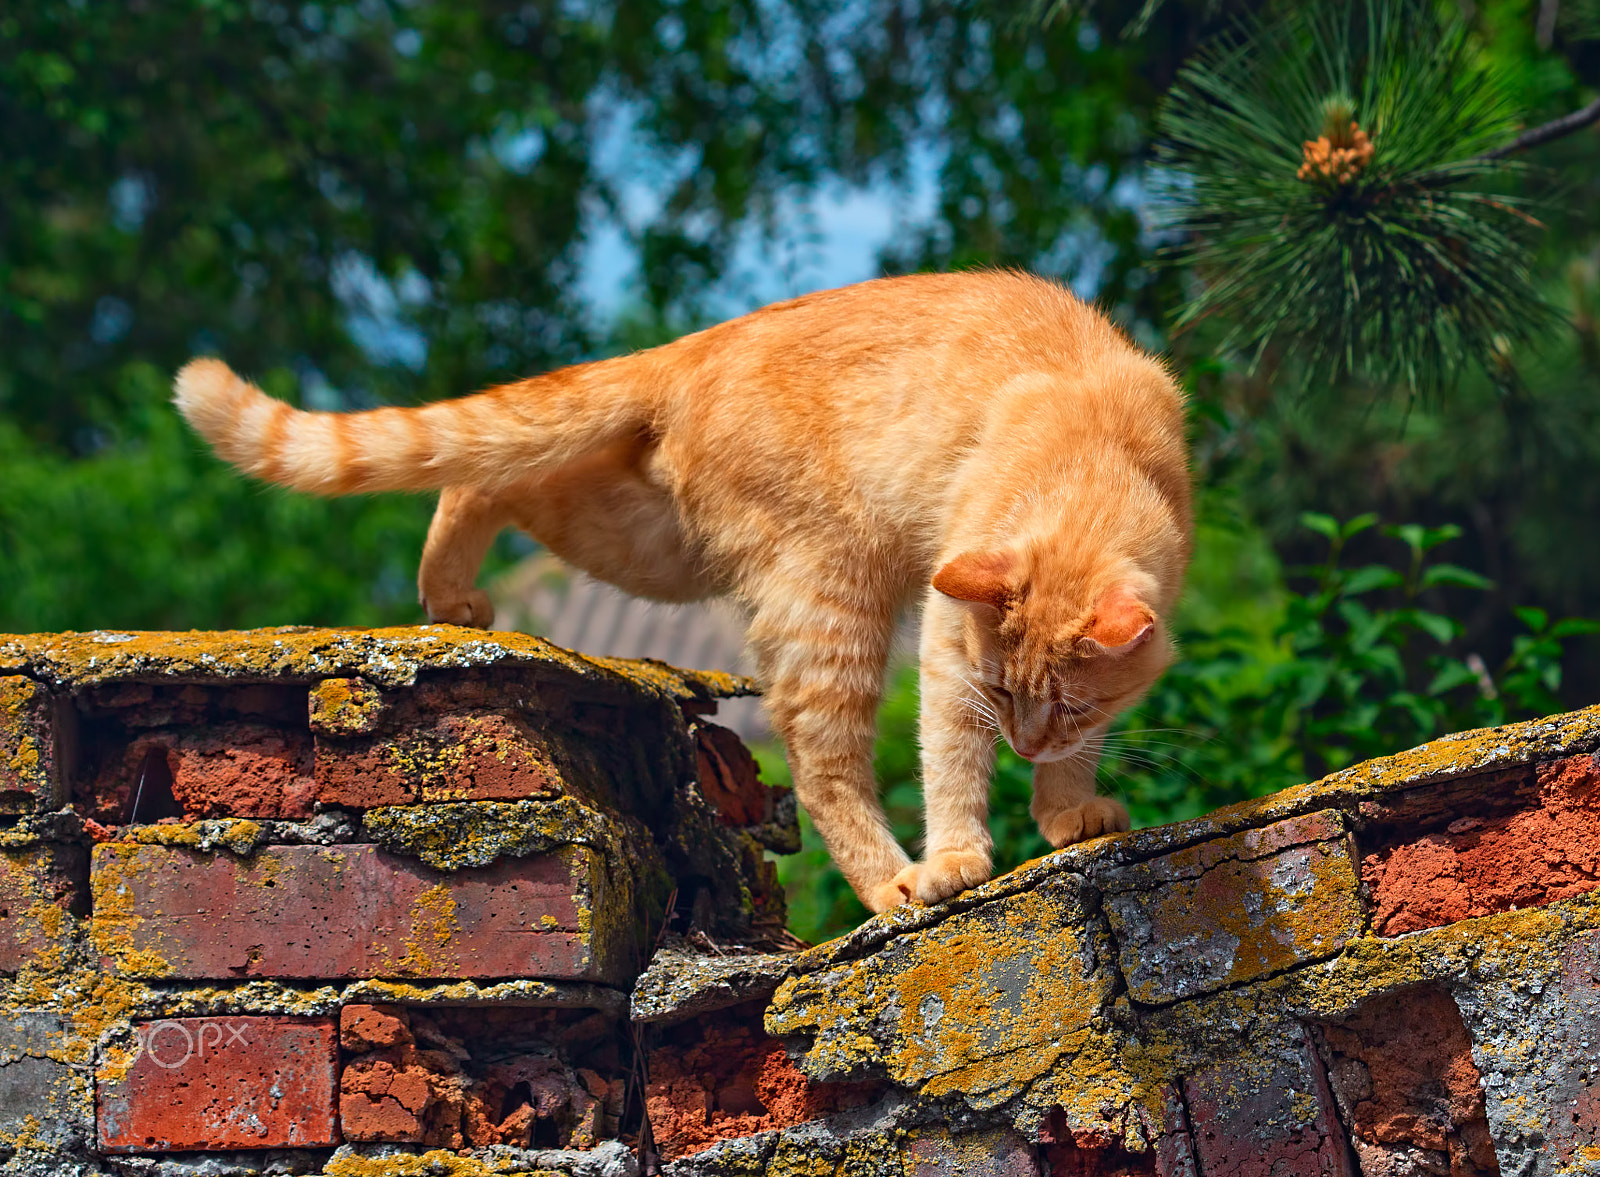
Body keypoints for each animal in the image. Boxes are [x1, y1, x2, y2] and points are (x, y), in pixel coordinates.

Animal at [181, 271, 1196, 914]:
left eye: (1068, 708)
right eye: (998, 692)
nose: (1023, 744)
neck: (1086, 448)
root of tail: (698, 344)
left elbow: (1078, 755)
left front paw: (1066, 811)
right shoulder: (951, 653)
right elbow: (949, 764)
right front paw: (958, 856)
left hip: (642, 536)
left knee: (481, 476)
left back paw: (452, 599)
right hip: (826, 583)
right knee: (821, 762)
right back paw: (894, 884)